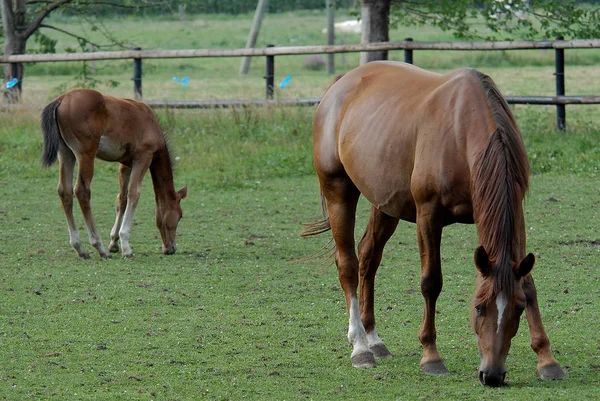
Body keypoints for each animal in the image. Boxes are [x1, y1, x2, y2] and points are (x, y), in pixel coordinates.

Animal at [41, 88, 186, 258]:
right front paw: (125, 245)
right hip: (86, 154)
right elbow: (134, 194)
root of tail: (62, 99)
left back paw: (80, 248)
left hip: (66, 153)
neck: (151, 123)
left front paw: (114, 243)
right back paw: (99, 247)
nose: (171, 248)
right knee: (82, 191)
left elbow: (122, 199)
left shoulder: (125, 164)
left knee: (65, 191)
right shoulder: (143, 157)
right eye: (180, 215)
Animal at [302, 61, 564, 384]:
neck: (462, 132)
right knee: (348, 264)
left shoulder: (517, 216)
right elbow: (431, 282)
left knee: (368, 256)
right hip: (339, 192)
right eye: (479, 308)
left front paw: (547, 359)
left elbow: (528, 283)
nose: (492, 375)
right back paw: (360, 347)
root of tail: (340, 85)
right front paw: (431, 355)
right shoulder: (428, 216)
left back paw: (374, 339)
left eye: (518, 308)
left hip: (385, 203)